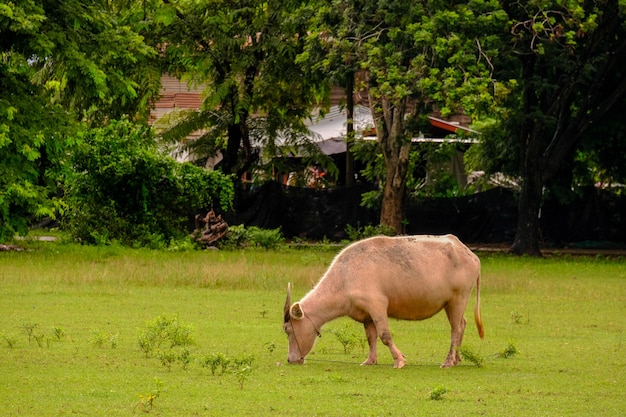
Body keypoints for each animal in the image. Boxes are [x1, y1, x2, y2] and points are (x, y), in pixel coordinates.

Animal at [282, 234, 482, 368]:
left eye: (288, 329)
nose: (291, 359)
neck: (345, 276)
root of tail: (468, 253)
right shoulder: (366, 314)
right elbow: (371, 337)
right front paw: (370, 360)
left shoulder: (377, 305)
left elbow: (385, 335)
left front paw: (399, 360)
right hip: (451, 303)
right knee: (462, 324)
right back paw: (456, 359)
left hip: (459, 298)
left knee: (455, 329)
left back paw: (448, 361)